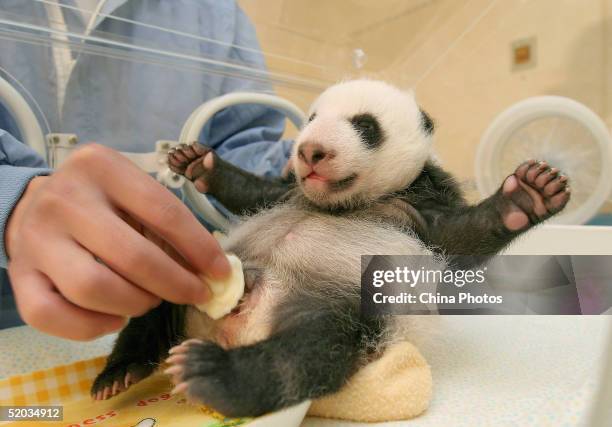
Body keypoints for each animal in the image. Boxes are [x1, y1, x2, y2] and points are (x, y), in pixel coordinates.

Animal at [89, 79, 568, 414]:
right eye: (312, 118)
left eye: (365, 125)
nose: (311, 151)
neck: (345, 202)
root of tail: (229, 327)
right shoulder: (285, 191)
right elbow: (249, 191)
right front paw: (198, 162)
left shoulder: (420, 209)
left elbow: (462, 238)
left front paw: (529, 195)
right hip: (192, 275)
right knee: (153, 309)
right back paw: (120, 372)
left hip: (330, 303)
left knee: (308, 352)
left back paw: (216, 374)